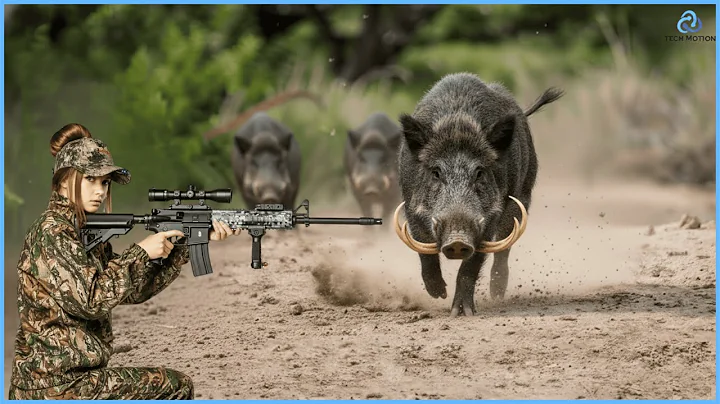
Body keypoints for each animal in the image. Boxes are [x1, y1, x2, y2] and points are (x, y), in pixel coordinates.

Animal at [393, 72, 563, 317]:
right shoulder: (410, 207)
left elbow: (471, 265)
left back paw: (497, 294)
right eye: (436, 172)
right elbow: (424, 252)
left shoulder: (489, 218)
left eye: (479, 172)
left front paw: (461, 313)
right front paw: (438, 294)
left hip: (523, 194)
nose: (457, 240)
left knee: (504, 248)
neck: (458, 126)